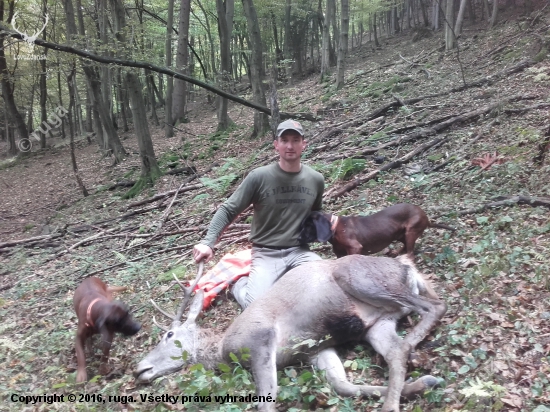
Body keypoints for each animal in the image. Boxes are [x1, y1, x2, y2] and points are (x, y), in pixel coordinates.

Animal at [135, 255, 447, 412]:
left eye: (169, 335)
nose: (139, 369)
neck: (224, 348)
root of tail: (406, 266)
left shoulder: (261, 339)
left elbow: (268, 401)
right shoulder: (314, 350)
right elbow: (342, 385)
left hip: (363, 279)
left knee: (435, 305)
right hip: (378, 323)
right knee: (396, 351)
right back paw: (424, 380)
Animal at [298, 203, 455, 260]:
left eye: (307, 225)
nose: (297, 238)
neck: (336, 228)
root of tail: (426, 217)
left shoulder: (355, 248)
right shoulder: (340, 254)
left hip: (410, 231)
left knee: (410, 253)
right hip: (400, 234)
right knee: (405, 246)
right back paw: (396, 252)